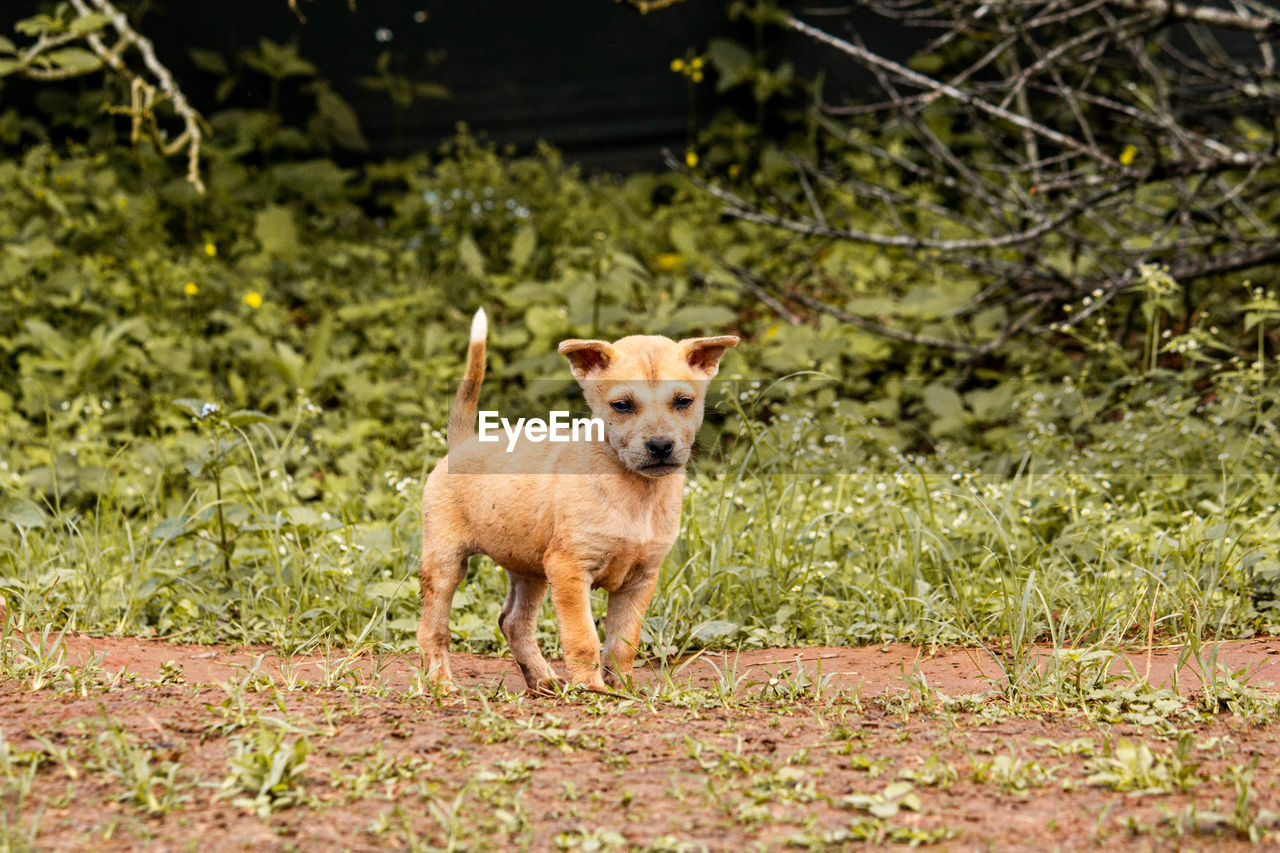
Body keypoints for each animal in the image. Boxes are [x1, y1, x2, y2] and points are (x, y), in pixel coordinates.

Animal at [419, 308, 742, 686]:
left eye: (683, 402)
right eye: (622, 405)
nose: (660, 446)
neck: (636, 493)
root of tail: (462, 443)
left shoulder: (641, 579)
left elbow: (623, 641)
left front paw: (623, 688)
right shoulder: (570, 569)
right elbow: (583, 637)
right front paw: (591, 688)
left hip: (529, 569)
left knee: (513, 622)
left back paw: (542, 682)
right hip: (444, 562)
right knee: (433, 630)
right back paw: (442, 683)